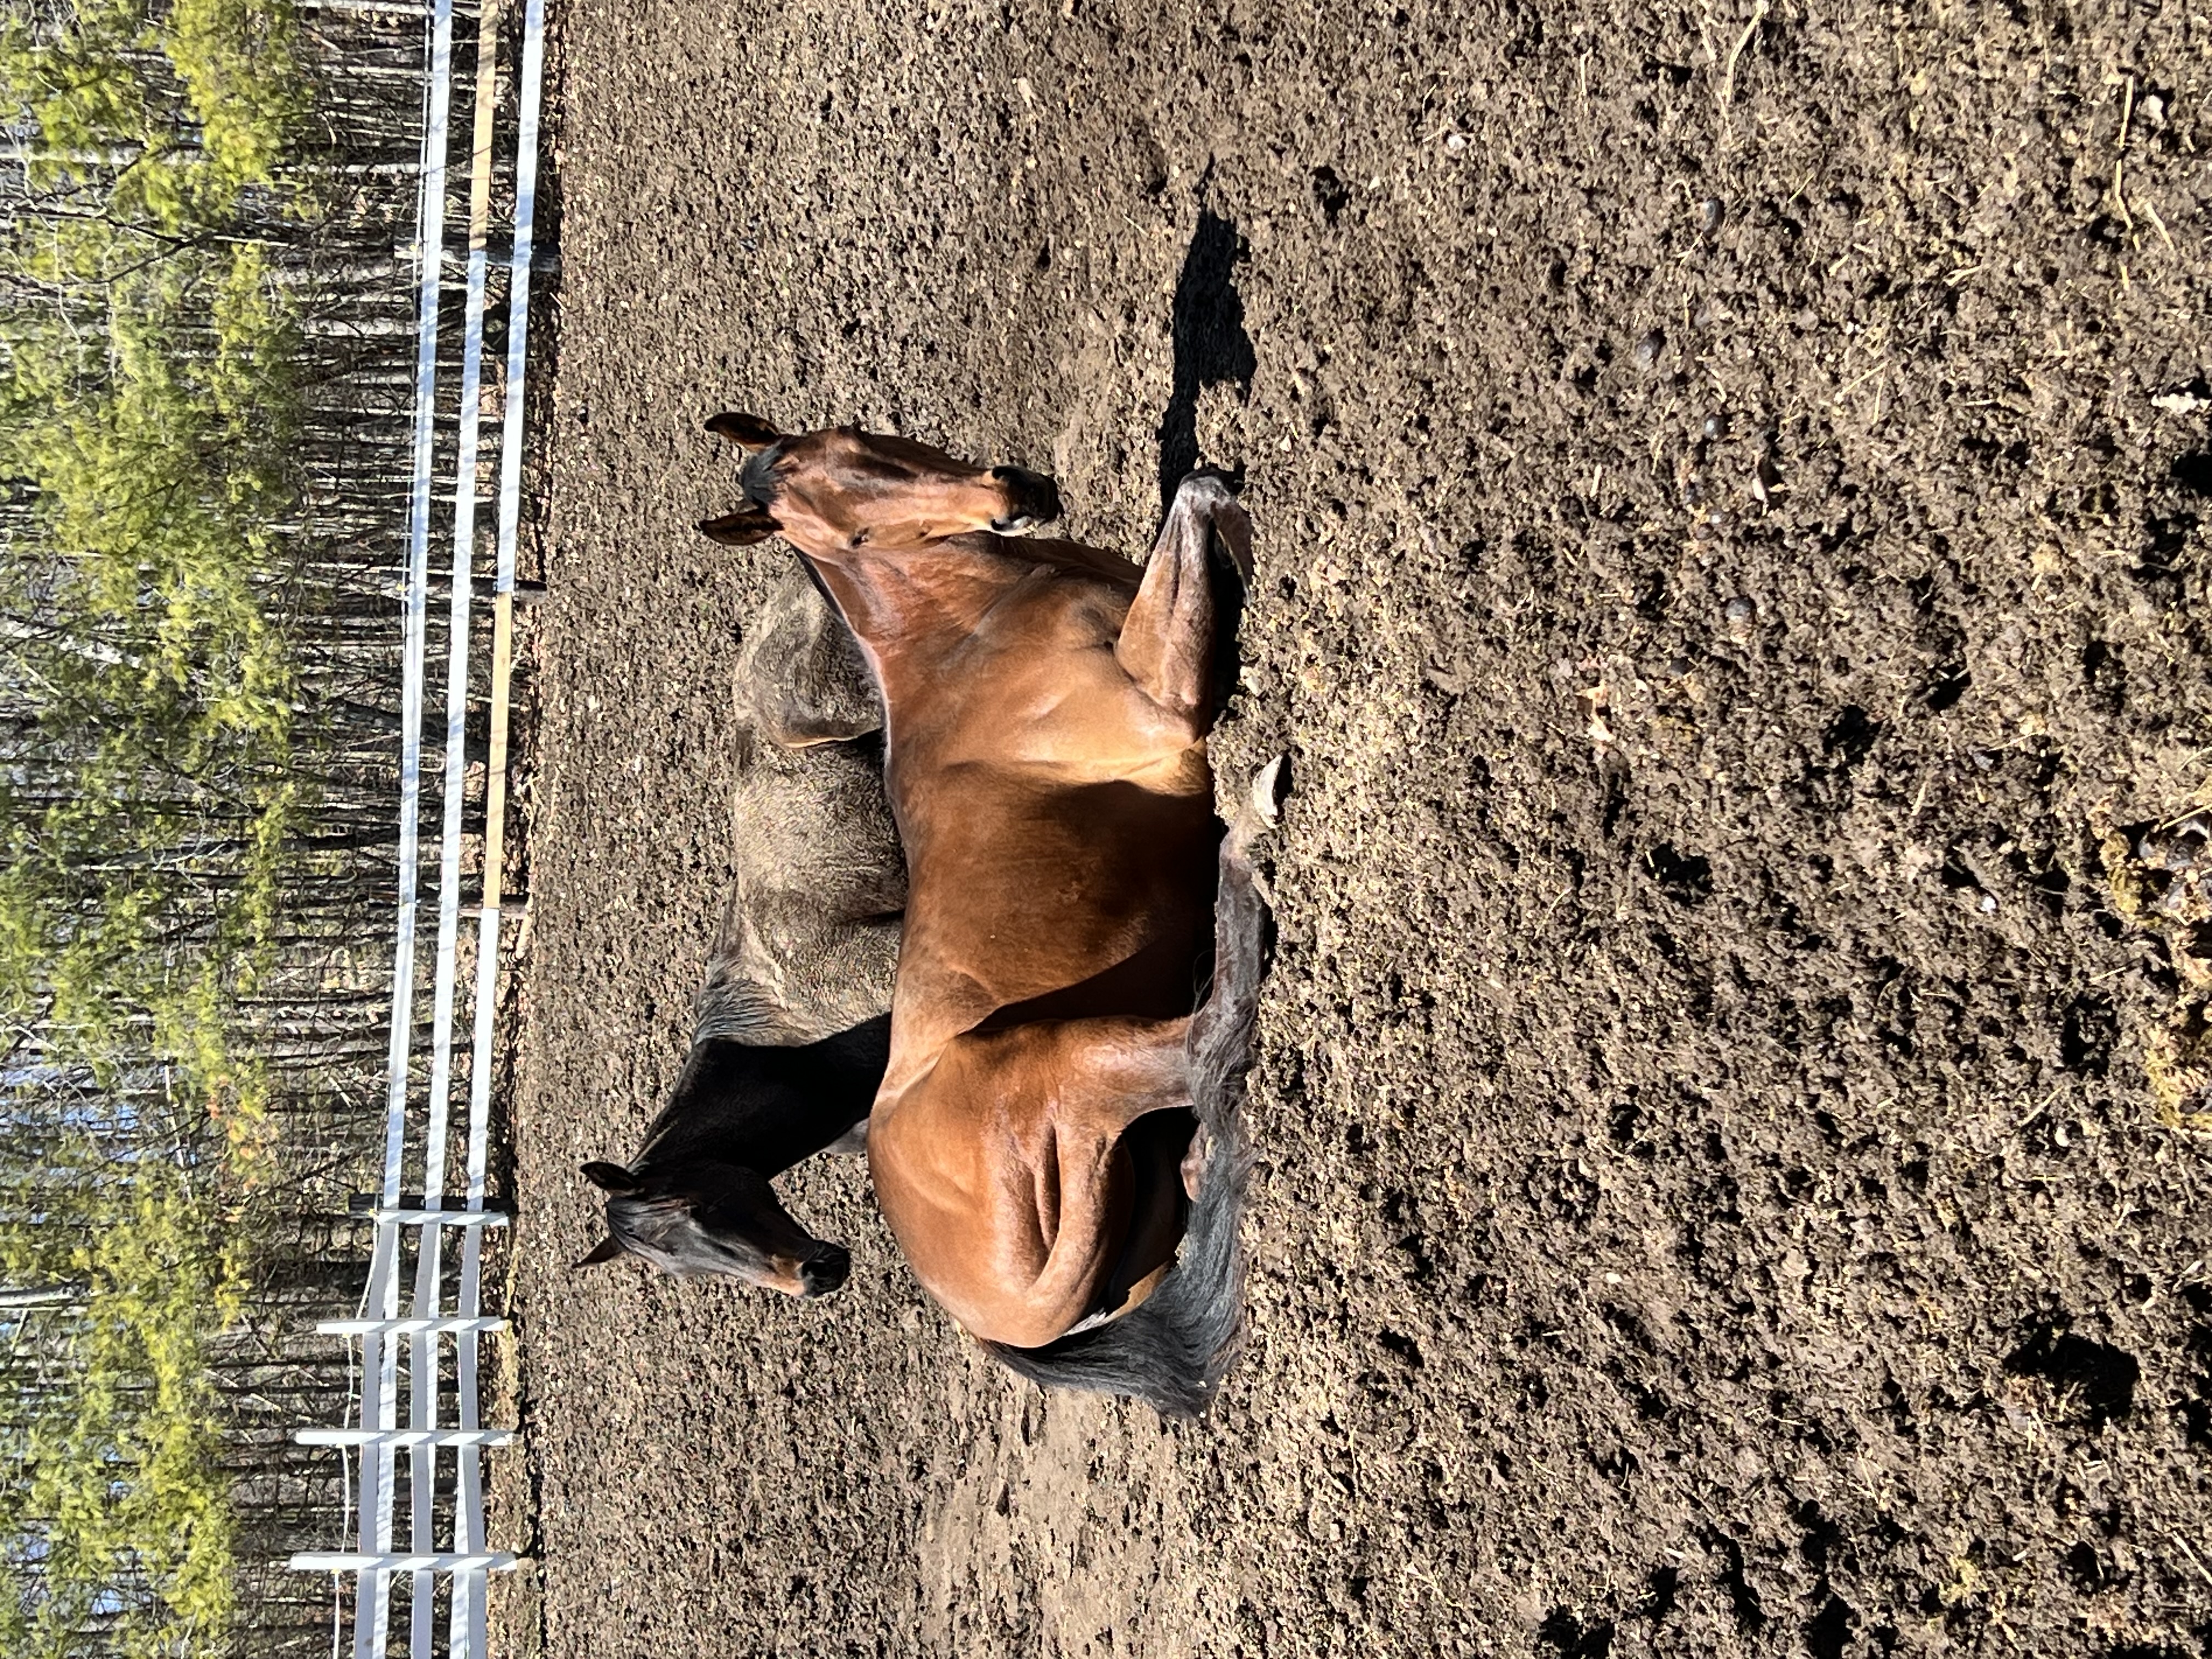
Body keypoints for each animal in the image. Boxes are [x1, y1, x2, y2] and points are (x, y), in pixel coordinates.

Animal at [698, 415, 1274, 1414]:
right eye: (849, 534)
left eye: (862, 437)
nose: (1016, 493)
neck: (966, 634)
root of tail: (990, 1319)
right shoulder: (1165, 701)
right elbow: (1196, 492)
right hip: (1067, 1064)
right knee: (1206, 1042)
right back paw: (1242, 871)